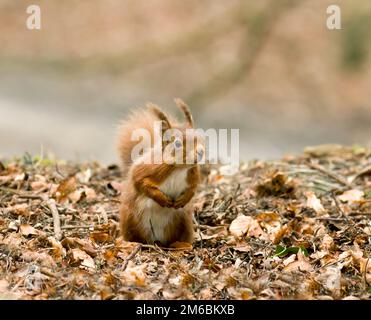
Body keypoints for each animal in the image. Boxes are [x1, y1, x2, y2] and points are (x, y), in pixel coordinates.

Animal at [117, 99, 206, 246]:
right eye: (177, 144)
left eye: (200, 138)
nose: (200, 152)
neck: (179, 168)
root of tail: (156, 240)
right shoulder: (148, 169)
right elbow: (140, 182)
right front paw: (161, 199)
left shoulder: (193, 174)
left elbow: (193, 188)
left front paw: (184, 198)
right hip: (130, 218)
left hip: (184, 222)